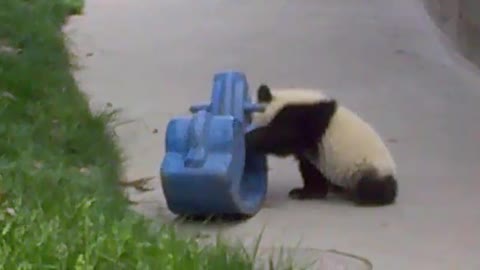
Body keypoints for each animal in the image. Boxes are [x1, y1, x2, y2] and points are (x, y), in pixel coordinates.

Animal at [244, 85, 398, 206]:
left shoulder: (301, 117)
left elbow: (281, 138)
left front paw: (249, 137)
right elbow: (306, 163)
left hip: (370, 166)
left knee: (372, 186)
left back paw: (361, 196)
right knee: (312, 168)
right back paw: (312, 191)